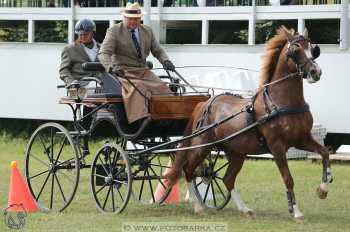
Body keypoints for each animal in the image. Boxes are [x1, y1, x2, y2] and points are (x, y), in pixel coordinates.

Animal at [165, 27, 332, 223]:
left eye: (313, 49)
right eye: (296, 50)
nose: (315, 72)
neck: (282, 101)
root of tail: (205, 103)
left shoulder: (302, 139)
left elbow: (325, 153)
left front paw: (323, 189)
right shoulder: (277, 147)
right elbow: (288, 178)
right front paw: (296, 212)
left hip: (236, 152)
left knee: (228, 179)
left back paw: (245, 209)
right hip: (201, 147)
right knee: (188, 171)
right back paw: (198, 207)